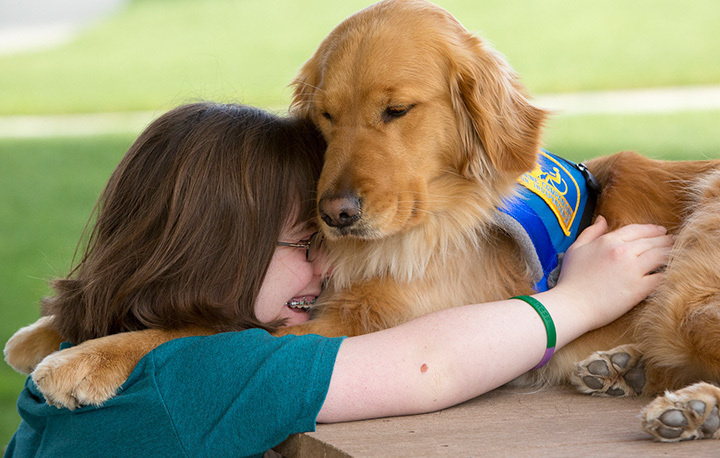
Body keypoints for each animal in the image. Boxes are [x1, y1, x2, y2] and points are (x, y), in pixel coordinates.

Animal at [5, 0, 720, 442]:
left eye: (396, 111)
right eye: (326, 115)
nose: (336, 214)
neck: (433, 218)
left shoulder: (360, 323)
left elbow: (203, 328)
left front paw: (83, 360)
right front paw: (45, 332)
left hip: (685, 289)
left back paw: (689, 407)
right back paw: (622, 369)